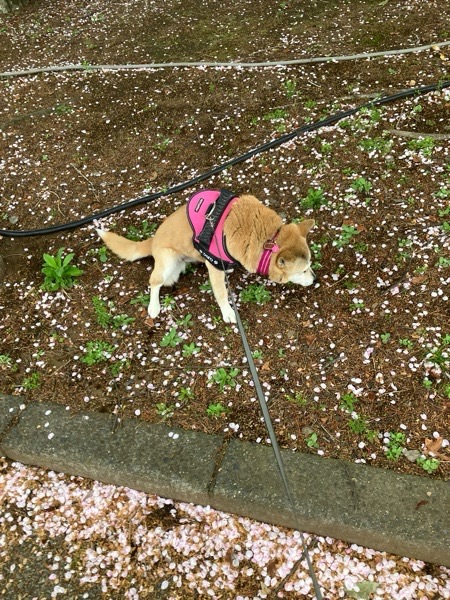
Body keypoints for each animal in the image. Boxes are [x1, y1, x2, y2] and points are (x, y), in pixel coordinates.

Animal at [97, 189, 315, 324]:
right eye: (304, 270)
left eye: (310, 265)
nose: (315, 279)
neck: (269, 239)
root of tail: (153, 240)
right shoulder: (214, 266)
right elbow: (222, 294)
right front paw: (228, 312)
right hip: (167, 264)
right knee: (154, 282)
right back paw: (153, 307)